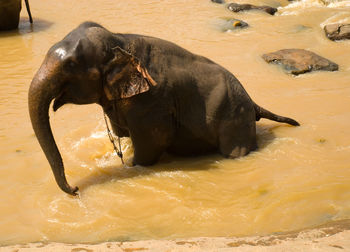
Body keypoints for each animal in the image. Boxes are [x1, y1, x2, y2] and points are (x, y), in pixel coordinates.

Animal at [28, 21, 300, 195]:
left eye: (71, 65)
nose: (74, 189)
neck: (119, 40)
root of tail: (252, 101)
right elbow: (125, 135)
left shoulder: (151, 102)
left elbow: (151, 146)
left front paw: (133, 165)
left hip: (236, 118)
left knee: (235, 152)